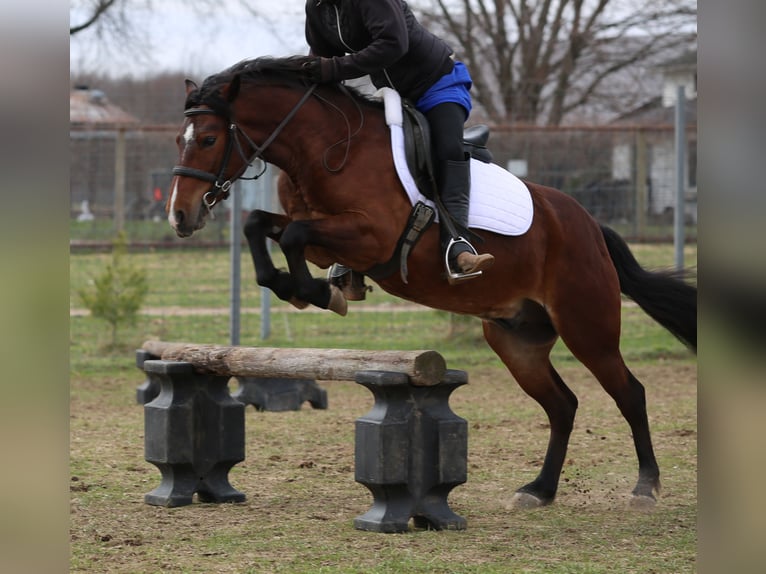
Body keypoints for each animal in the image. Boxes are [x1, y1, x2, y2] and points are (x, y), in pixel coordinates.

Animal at [166, 55, 696, 510]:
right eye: (179, 140)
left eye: (208, 140)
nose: (180, 216)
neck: (324, 148)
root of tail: (589, 225)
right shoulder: (322, 238)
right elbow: (260, 224)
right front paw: (302, 287)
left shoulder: (371, 236)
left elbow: (292, 234)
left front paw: (315, 292)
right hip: (516, 340)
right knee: (563, 405)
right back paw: (539, 490)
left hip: (587, 328)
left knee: (629, 393)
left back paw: (645, 487)